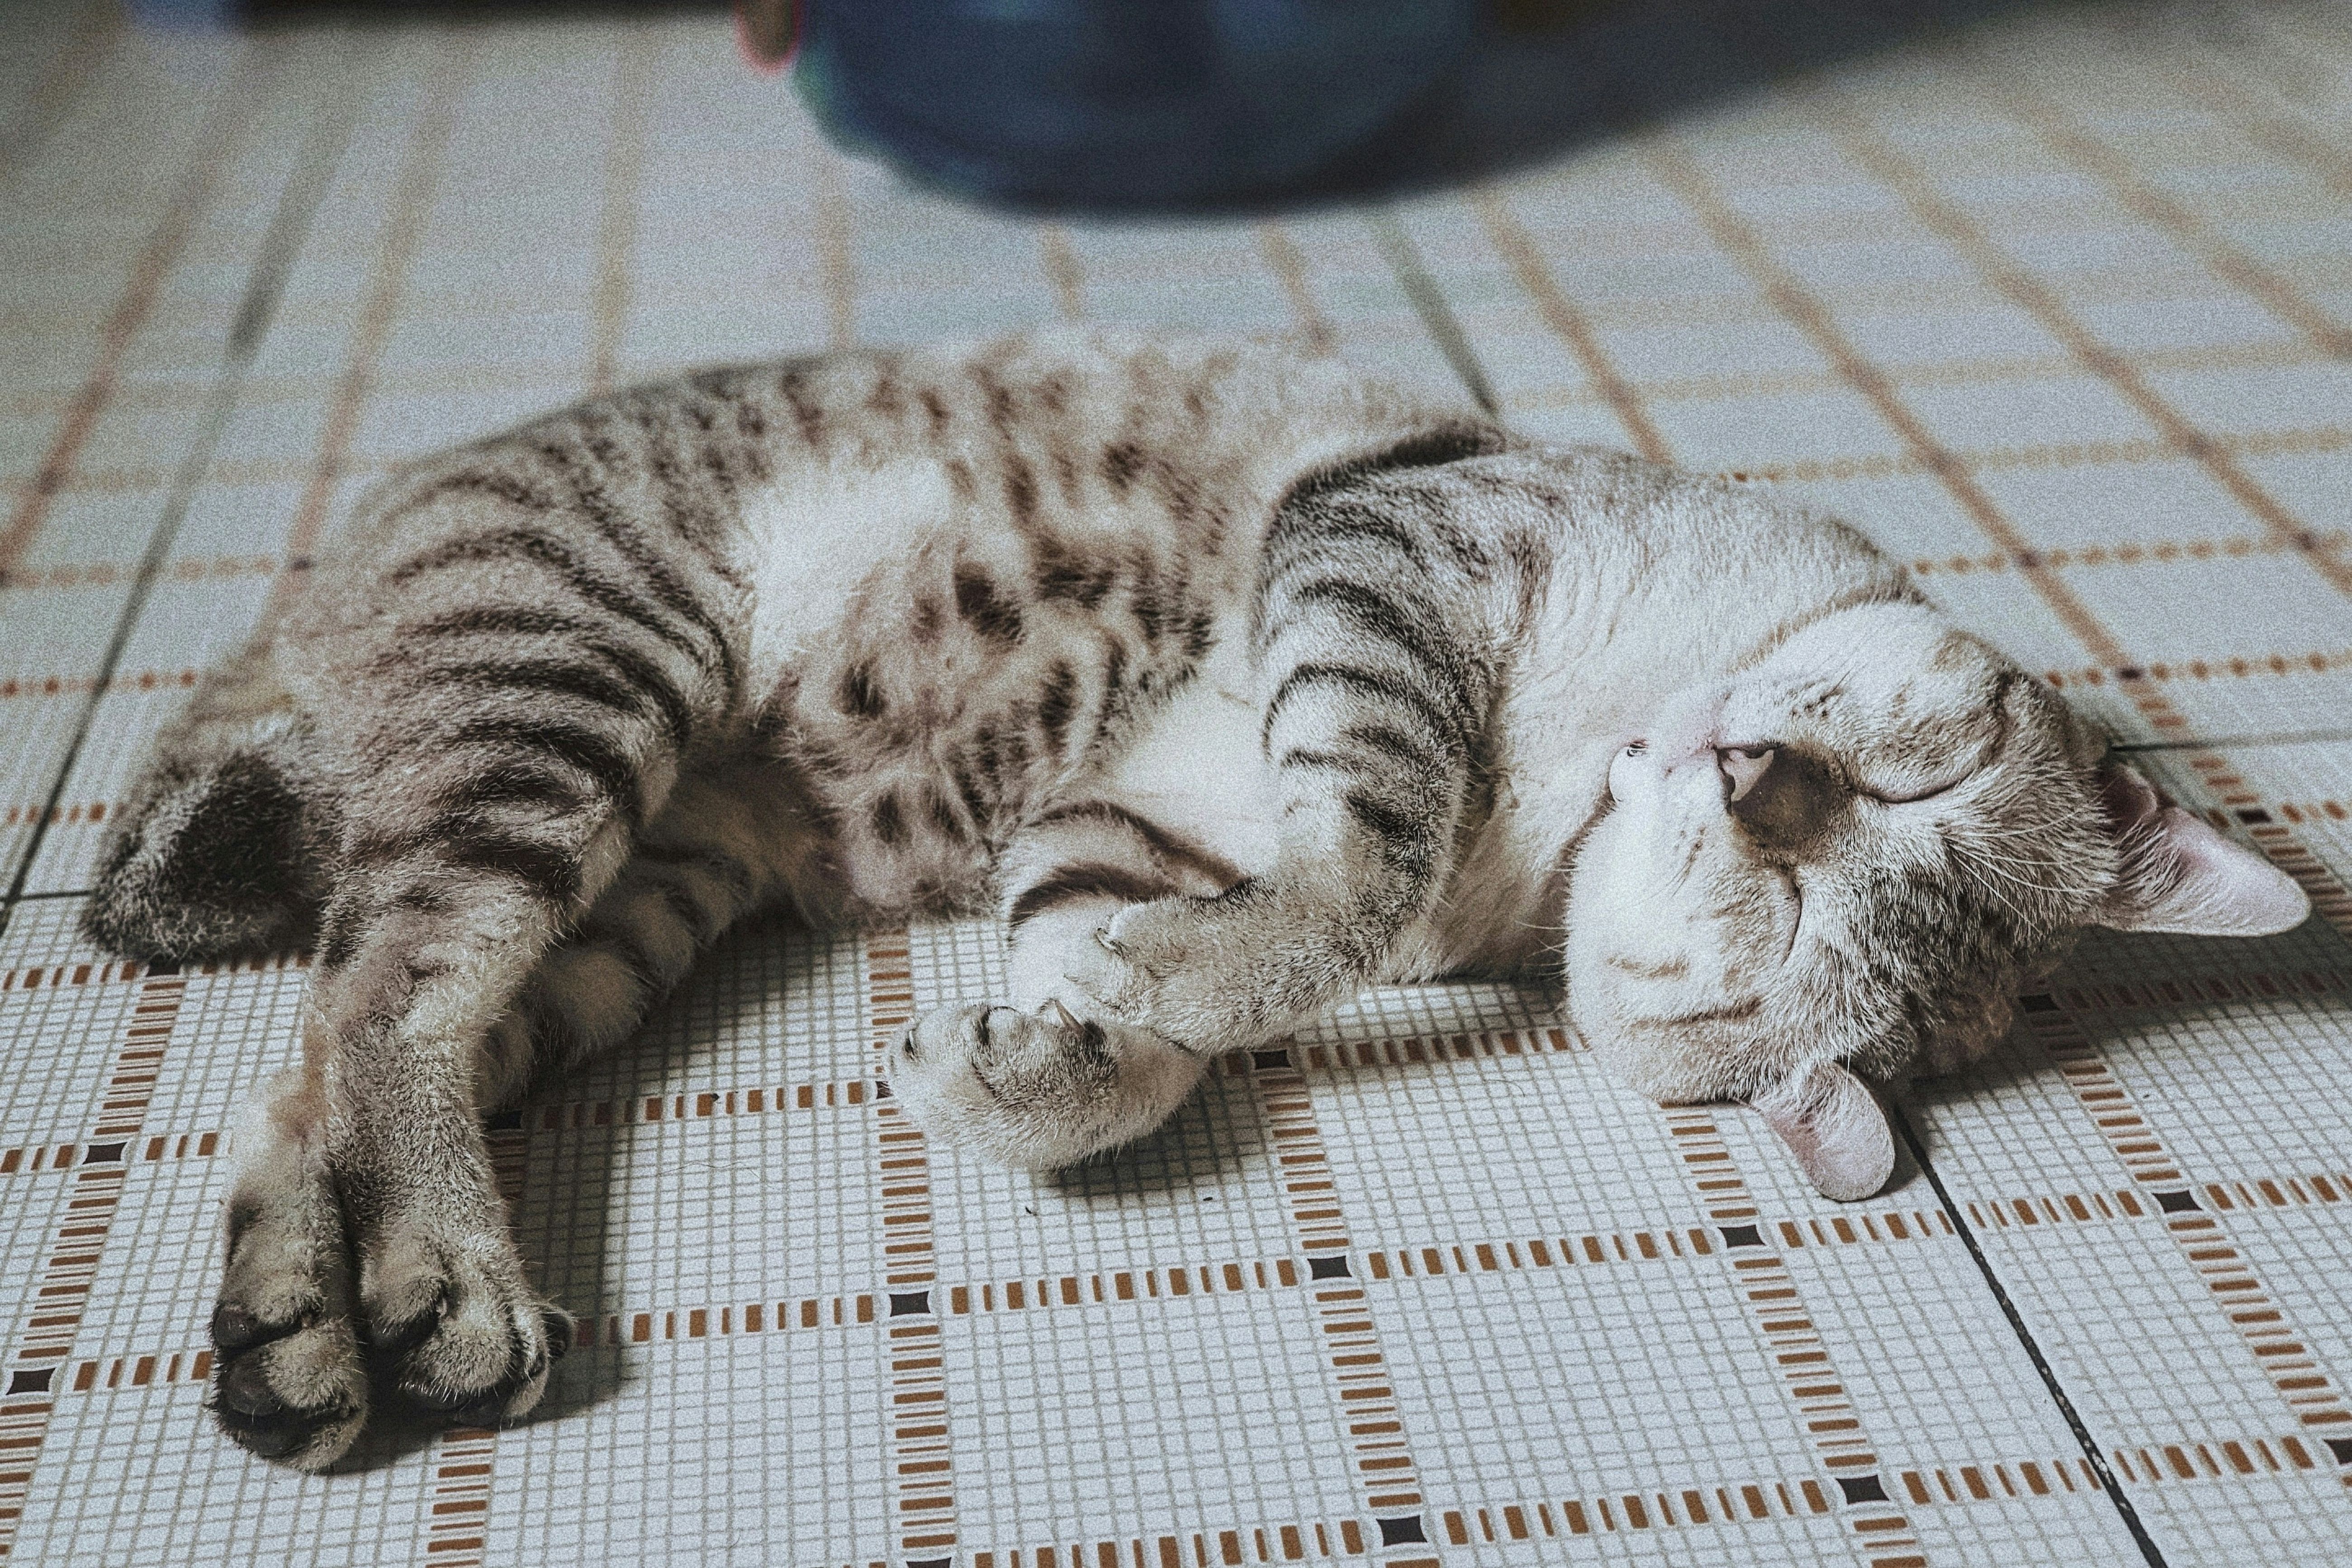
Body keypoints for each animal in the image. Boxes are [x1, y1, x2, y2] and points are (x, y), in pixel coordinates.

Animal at [83, 331, 2305, 1476]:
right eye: (1887, 789)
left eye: (1792, 932)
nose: (1749, 774)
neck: (1558, 807)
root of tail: (327, 569)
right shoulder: (1389, 543)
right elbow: (1364, 861)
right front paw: (1119, 1006)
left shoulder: (1114, 816)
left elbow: (1163, 996)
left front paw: (1040, 1053)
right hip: (580, 690)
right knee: (381, 997)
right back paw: (437, 1277)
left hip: (629, 885)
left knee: (341, 1052)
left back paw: (322, 1325)